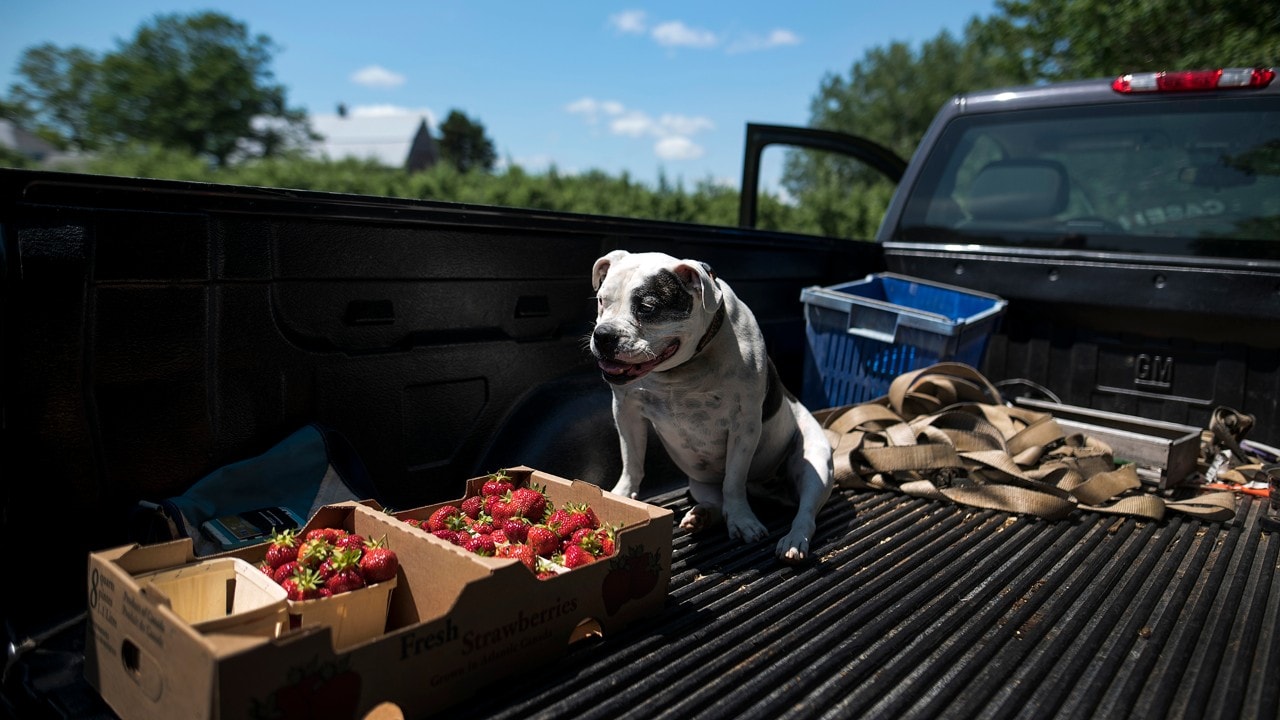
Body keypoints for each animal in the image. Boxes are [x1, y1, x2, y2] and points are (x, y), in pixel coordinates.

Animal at [586, 249, 834, 563]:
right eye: (601, 300)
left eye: (647, 308)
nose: (604, 335)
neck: (680, 371)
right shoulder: (626, 411)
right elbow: (632, 461)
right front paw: (622, 493)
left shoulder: (744, 426)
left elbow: (734, 481)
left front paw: (743, 520)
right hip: (700, 482)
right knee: (717, 502)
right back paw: (702, 516)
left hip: (815, 463)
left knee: (806, 511)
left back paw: (794, 540)